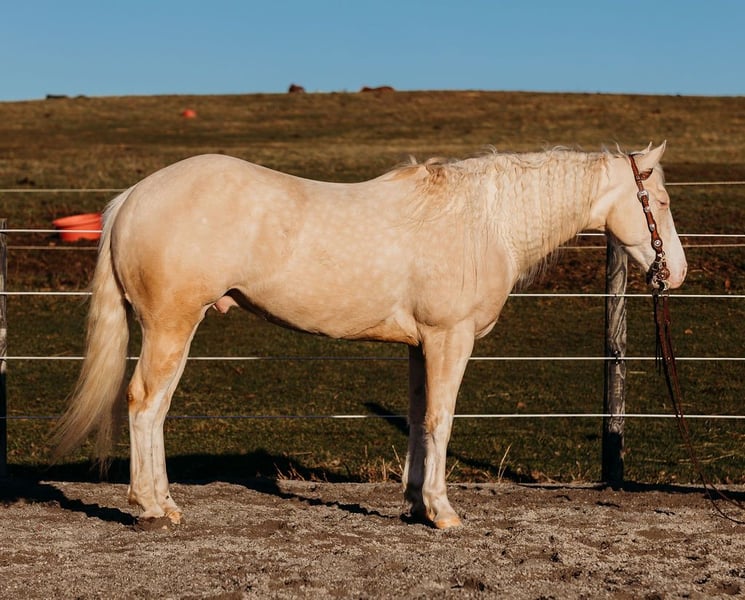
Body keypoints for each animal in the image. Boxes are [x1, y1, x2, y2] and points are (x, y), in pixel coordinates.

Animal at [54, 142, 687, 529]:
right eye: (657, 200)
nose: (674, 273)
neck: (484, 223)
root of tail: (131, 198)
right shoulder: (450, 339)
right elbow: (441, 421)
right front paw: (442, 512)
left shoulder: (420, 346)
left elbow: (419, 421)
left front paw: (414, 503)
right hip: (171, 327)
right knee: (144, 404)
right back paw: (148, 507)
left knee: (156, 410)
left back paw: (164, 502)